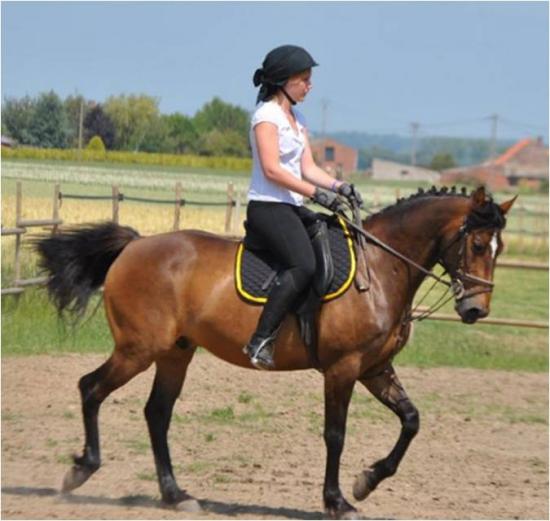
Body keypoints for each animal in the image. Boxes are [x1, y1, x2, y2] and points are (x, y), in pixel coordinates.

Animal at [34, 185, 516, 516]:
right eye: (477, 244)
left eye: (499, 248)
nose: (475, 309)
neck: (381, 269)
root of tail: (134, 244)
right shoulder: (343, 369)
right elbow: (335, 434)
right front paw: (337, 501)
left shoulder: (375, 369)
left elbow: (412, 420)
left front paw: (366, 481)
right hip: (138, 349)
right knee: (91, 388)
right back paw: (81, 470)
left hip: (175, 353)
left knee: (157, 413)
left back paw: (176, 495)